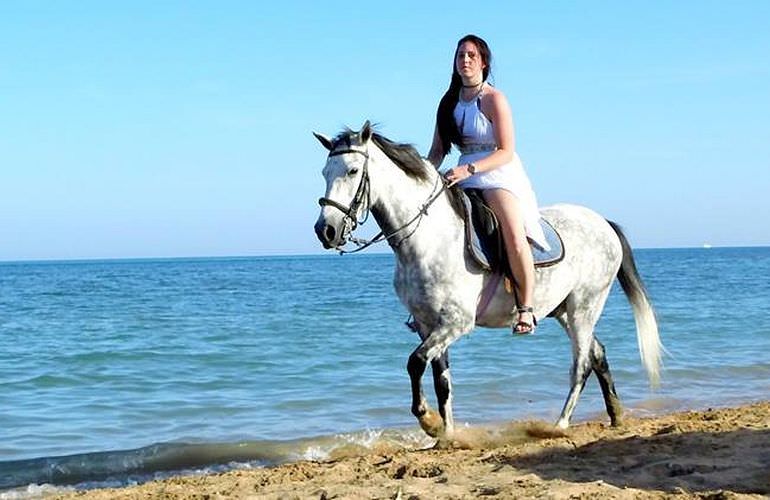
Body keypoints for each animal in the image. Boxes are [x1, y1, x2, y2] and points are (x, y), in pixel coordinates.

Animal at [312, 123, 660, 440]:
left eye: (353, 170)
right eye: (325, 172)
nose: (325, 231)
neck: (429, 238)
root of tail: (604, 223)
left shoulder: (456, 322)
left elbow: (415, 362)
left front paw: (429, 421)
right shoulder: (428, 324)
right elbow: (441, 381)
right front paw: (447, 435)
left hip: (584, 307)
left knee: (582, 363)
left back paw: (559, 425)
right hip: (563, 310)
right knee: (598, 353)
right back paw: (615, 415)